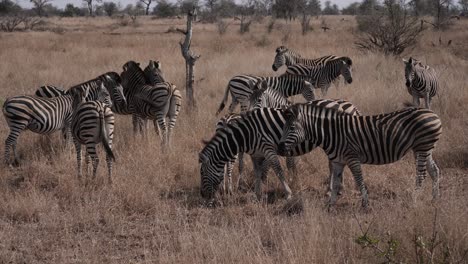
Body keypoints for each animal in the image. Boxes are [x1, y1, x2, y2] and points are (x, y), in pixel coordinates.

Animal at [198, 100, 362, 201]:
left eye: (202, 172)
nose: (203, 195)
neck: (248, 133)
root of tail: (338, 103)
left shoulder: (268, 149)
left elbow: (278, 170)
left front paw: (288, 193)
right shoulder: (255, 154)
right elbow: (258, 172)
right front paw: (257, 194)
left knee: (333, 165)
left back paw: (331, 190)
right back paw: (337, 189)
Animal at [278, 103, 442, 208]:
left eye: (291, 127)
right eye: (284, 127)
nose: (279, 148)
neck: (332, 133)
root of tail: (432, 113)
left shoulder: (352, 158)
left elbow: (359, 180)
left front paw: (365, 204)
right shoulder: (338, 161)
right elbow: (335, 183)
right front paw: (330, 205)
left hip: (422, 147)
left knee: (421, 175)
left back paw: (414, 200)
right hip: (424, 149)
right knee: (434, 171)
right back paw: (435, 199)